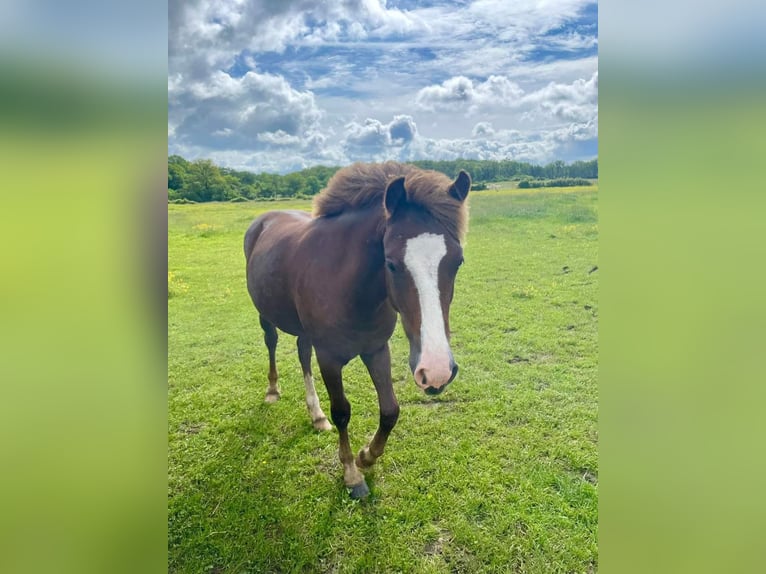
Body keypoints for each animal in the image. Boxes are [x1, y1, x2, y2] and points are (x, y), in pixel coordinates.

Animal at [246, 162, 472, 500]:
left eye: (458, 261)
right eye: (390, 263)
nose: (436, 372)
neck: (350, 287)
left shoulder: (377, 349)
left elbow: (390, 409)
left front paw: (367, 456)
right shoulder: (329, 357)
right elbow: (342, 411)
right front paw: (352, 474)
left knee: (302, 353)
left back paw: (316, 416)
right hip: (266, 314)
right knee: (271, 342)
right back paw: (273, 391)